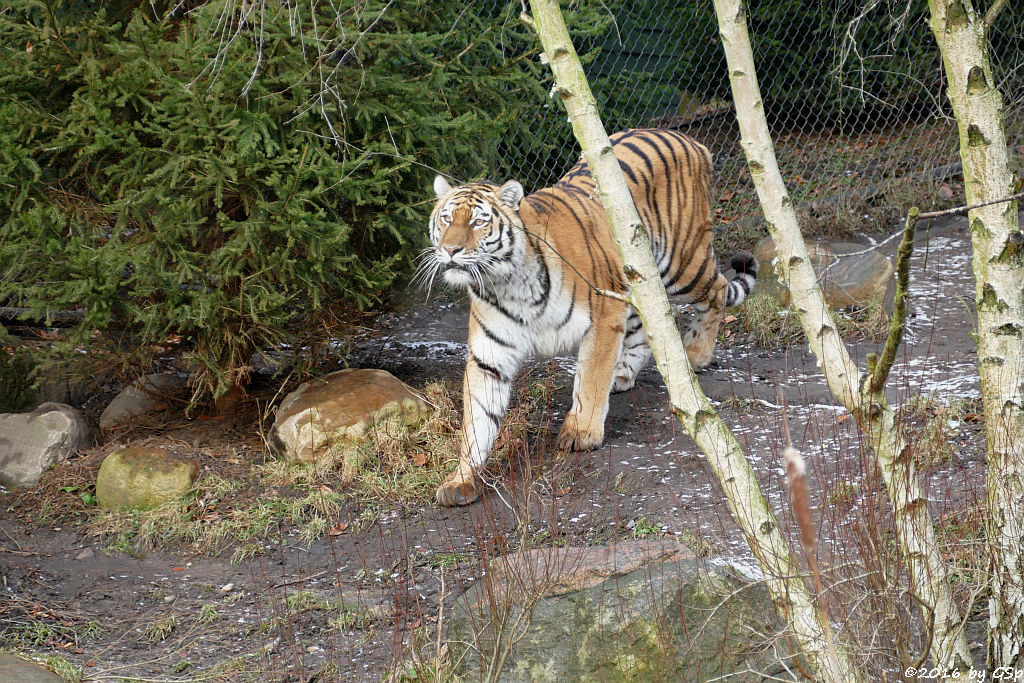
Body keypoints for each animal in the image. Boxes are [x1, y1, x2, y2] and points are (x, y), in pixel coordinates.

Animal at [419, 127, 757, 505]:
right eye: (446, 219)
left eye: (478, 222)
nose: (450, 250)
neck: (506, 284)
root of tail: (687, 138)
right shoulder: (489, 355)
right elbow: (478, 419)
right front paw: (461, 479)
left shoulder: (604, 315)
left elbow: (591, 379)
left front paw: (581, 433)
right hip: (636, 278)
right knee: (645, 326)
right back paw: (623, 374)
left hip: (682, 262)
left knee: (717, 289)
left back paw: (696, 354)